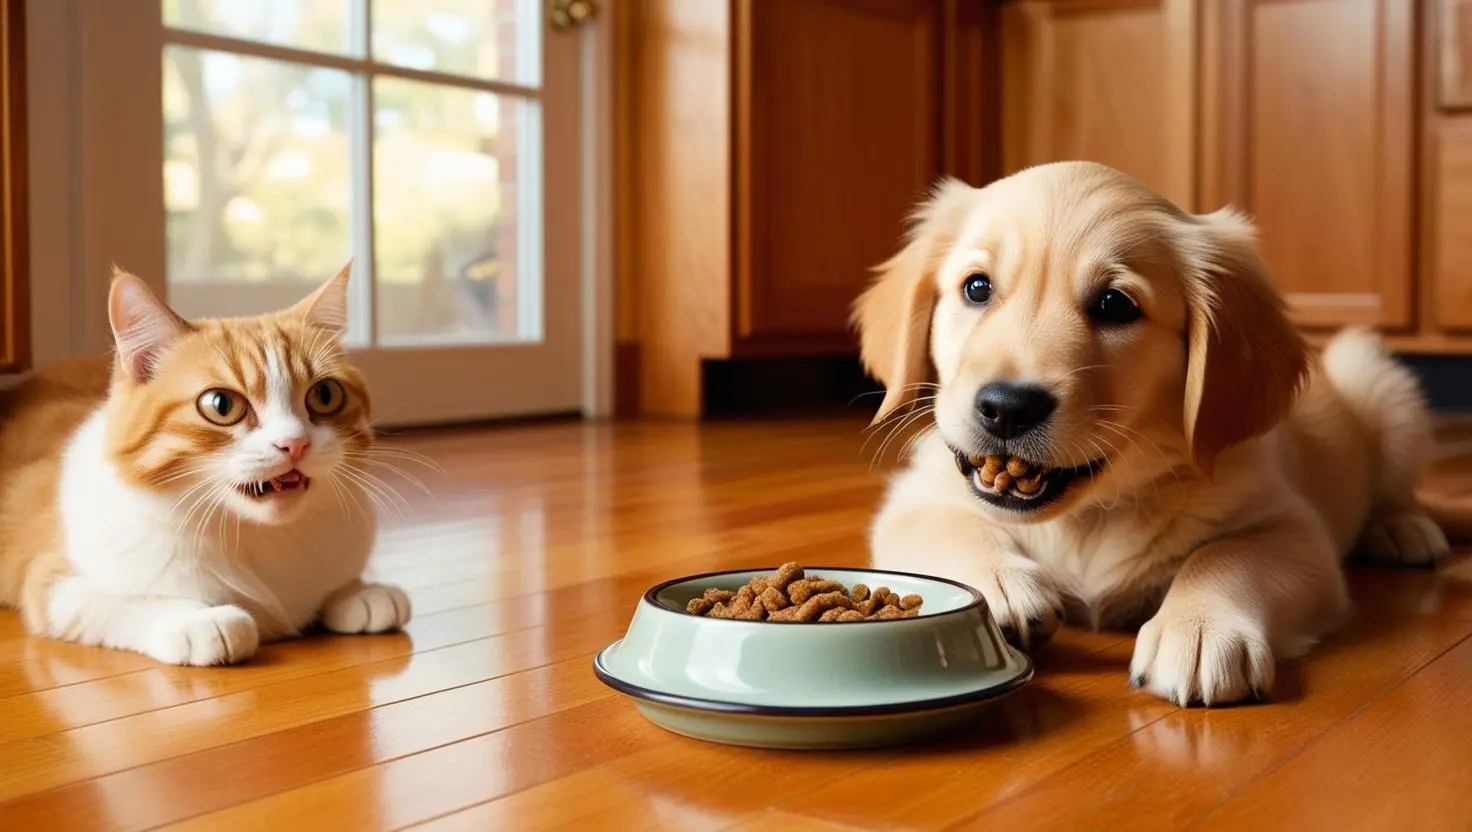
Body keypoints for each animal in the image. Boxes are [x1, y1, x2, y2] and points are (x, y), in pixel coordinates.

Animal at [0, 269, 412, 665]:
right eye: (221, 405)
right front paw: (199, 620)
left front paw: (359, 591)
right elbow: (126, 602)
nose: (295, 443)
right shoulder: (56, 585)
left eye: (325, 395)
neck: (254, 535)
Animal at [853, 161, 1448, 706]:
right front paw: (1001, 584)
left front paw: (1201, 630)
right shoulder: (917, 494)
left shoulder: (1293, 528)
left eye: (1115, 305)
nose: (1007, 408)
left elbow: (1227, 555)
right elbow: (944, 523)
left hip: (1378, 377)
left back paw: (1404, 529)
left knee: (1394, 489)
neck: (1088, 513)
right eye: (977, 288)